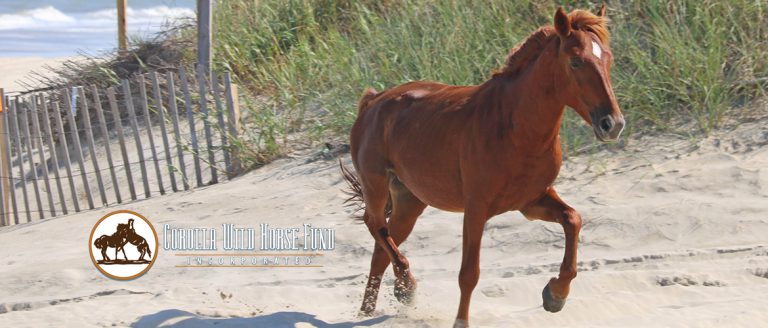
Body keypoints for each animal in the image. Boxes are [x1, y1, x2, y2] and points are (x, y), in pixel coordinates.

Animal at [344, 5, 628, 328]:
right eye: (576, 61)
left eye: (608, 57)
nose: (613, 124)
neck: (515, 126)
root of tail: (373, 101)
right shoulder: (476, 209)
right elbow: (469, 273)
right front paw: (460, 321)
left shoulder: (530, 202)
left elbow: (573, 219)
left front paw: (555, 295)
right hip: (377, 186)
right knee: (375, 226)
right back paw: (406, 286)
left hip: (409, 202)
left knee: (381, 248)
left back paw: (369, 309)